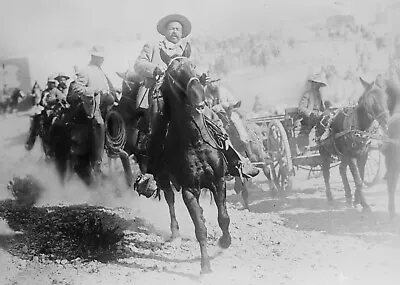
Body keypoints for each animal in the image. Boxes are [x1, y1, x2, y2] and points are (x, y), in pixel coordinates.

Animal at [318, 76, 390, 210]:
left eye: (385, 98)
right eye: (372, 101)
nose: (386, 121)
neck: (358, 128)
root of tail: (325, 111)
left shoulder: (363, 155)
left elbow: (360, 176)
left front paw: (357, 200)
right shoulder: (351, 156)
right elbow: (358, 180)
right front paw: (365, 204)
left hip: (343, 155)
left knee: (341, 170)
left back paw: (348, 195)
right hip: (324, 153)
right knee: (326, 174)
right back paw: (330, 198)